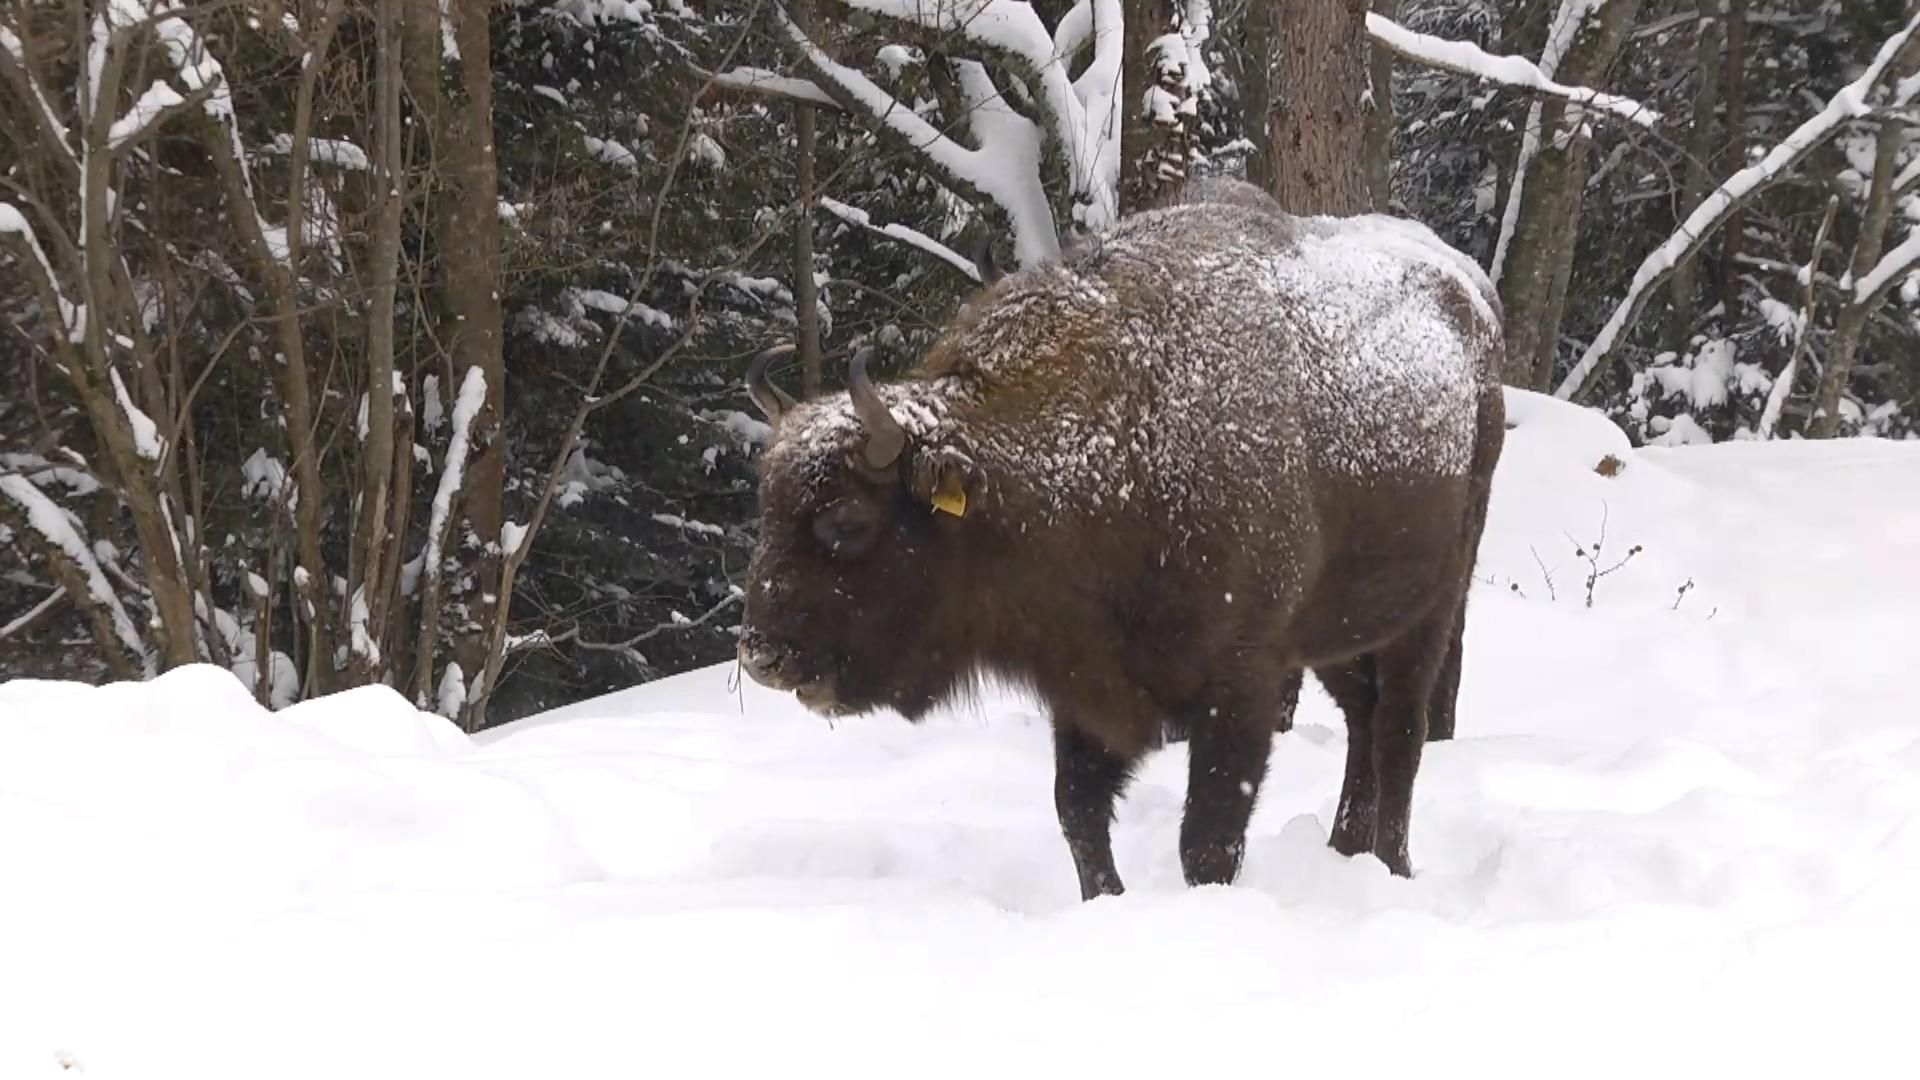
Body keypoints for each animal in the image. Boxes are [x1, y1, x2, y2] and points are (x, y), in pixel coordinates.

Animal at [733, 180, 1497, 895]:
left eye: (846, 522)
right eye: (766, 510)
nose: (763, 655)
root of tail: (1472, 300)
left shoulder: (1241, 685)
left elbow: (1207, 841)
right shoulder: (1084, 689)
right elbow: (1078, 812)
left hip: (1432, 606)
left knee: (1400, 731)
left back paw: (1392, 865)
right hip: (1340, 632)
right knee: (1364, 720)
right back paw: (1344, 850)